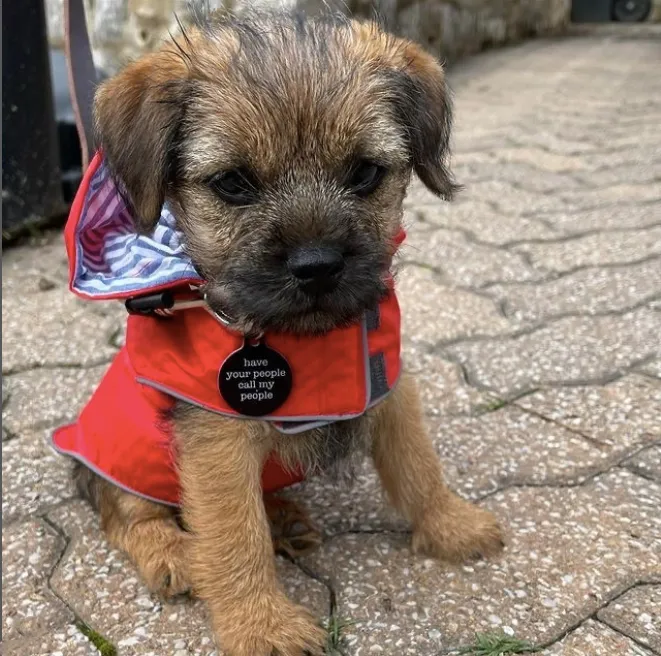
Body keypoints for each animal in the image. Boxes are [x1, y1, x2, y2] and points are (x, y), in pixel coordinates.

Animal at [72, 10, 502, 656]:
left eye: (365, 173)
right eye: (233, 183)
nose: (317, 264)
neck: (306, 339)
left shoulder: (390, 387)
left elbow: (419, 466)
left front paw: (452, 525)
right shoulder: (216, 441)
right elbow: (233, 536)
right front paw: (262, 627)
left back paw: (284, 517)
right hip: (120, 452)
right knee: (128, 513)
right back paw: (173, 553)